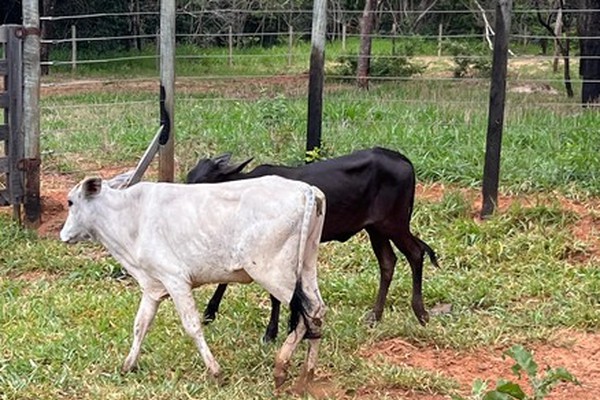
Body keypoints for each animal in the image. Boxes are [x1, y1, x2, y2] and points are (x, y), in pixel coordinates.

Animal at [58, 175, 326, 388]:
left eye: (70, 202)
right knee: (316, 312)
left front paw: (216, 372)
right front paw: (128, 365)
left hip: (275, 273)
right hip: (307, 266)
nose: (63, 235)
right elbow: (140, 325)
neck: (129, 217)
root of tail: (307, 189)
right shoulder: (152, 287)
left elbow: (192, 325)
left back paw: (282, 368)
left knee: (304, 315)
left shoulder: (175, 280)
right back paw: (307, 374)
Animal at [189, 148, 440, 344]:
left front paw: (272, 333)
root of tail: (402, 159)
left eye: (203, 182)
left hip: (393, 224)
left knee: (415, 253)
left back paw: (421, 313)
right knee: (388, 262)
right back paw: (375, 317)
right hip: (376, 229)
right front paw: (210, 312)